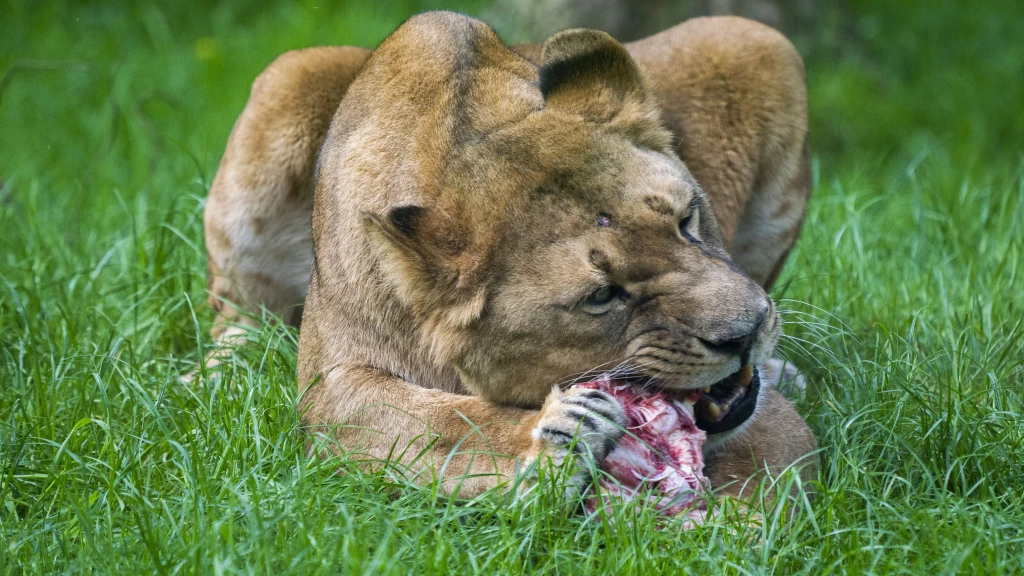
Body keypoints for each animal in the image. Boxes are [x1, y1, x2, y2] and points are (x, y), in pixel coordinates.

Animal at [203, 11, 819, 500]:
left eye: (687, 219)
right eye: (602, 296)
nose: (748, 332)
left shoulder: (765, 421)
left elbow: (771, 471)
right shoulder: (329, 388)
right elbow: (442, 421)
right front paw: (557, 438)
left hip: (749, 37)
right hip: (287, 83)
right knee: (233, 312)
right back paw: (215, 375)